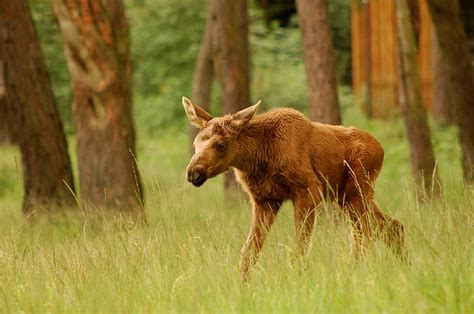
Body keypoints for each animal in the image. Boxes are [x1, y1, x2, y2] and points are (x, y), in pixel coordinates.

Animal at [181, 96, 404, 280]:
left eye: (220, 144)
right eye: (195, 143)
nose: (193, 173)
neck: (258, 158)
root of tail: (381, 150)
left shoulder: (309, 189)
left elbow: (299, 247)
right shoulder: (265, 200)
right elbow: (249, 252)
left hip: (355, 191)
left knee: (364, 233)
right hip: (347, 196)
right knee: (391, 225)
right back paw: (403, 265)